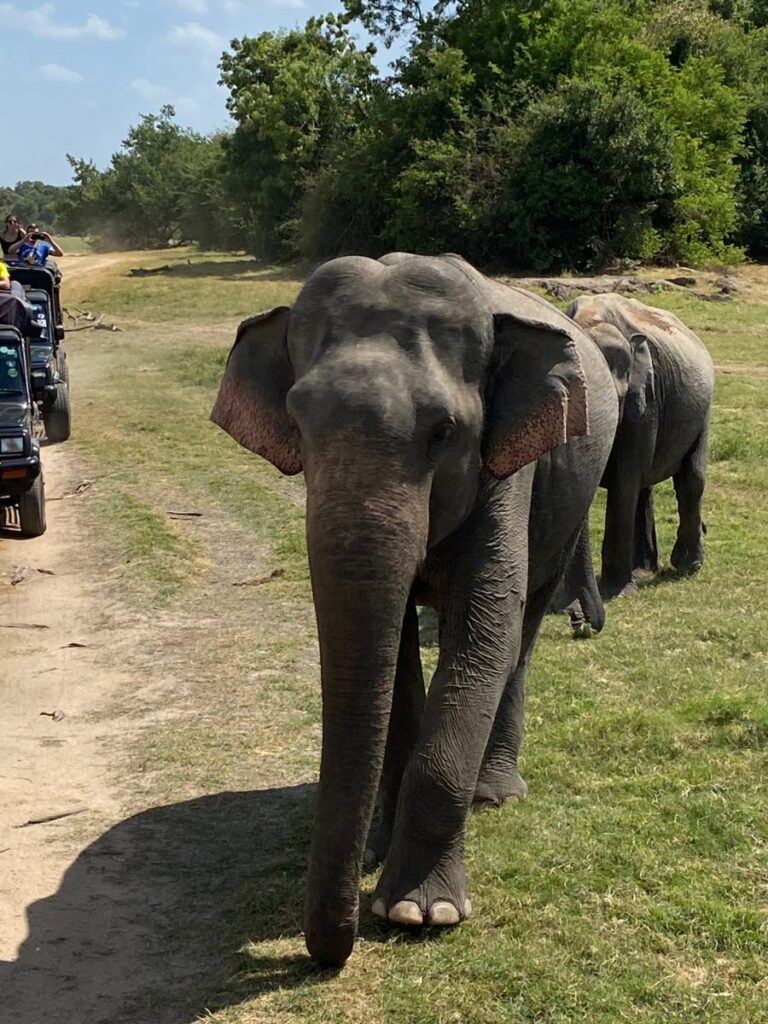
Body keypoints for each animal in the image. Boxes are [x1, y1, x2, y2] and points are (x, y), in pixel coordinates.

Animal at [210, 253, 619, 967]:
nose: (329, 952)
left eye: (445, 432)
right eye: (298, 422)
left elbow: (487, 623)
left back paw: (494, 794)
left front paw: (420, 912)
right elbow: (392, 643)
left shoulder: (506, 470)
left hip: (573, 492)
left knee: (522, 635)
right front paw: (379, 852)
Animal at [566, 293, 715, 601]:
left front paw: (617, 593)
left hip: (702, 413)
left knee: (690, 481)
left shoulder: (647, 400)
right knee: (644, 488)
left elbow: (624, 482)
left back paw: (686, 566)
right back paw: (645, 569)